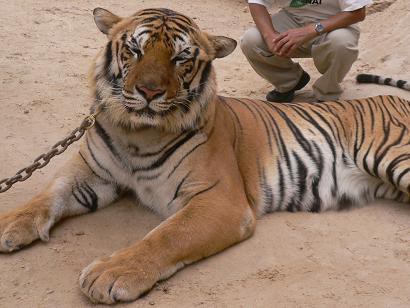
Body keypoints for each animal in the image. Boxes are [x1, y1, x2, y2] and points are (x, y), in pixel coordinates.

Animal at [0, 7, 410, 306]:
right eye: (135, 50)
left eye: (181, 57)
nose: (149, 92)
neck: (136, 132)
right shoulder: (90, 173)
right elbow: (46, 196)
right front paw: (10, 223)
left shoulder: (219, 200)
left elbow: (166, 236)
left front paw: (111, 273)